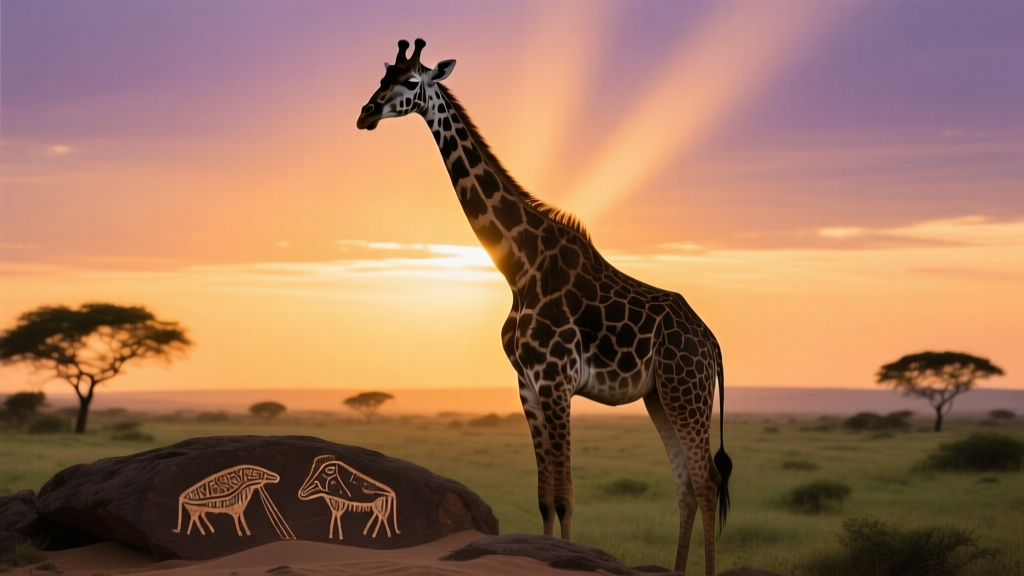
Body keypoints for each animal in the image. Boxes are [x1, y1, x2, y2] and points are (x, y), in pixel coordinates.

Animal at [356, 39, 732, 575]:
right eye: (382, 76)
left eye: (410, 82)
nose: (365, 115)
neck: (520, 266)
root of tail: (713, 343)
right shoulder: (528, 386)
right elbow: (544, 498)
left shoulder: (557, 382)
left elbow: (567, 495)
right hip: (660, 396)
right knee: (684, 485)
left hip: (687, 393)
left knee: (706, 482)